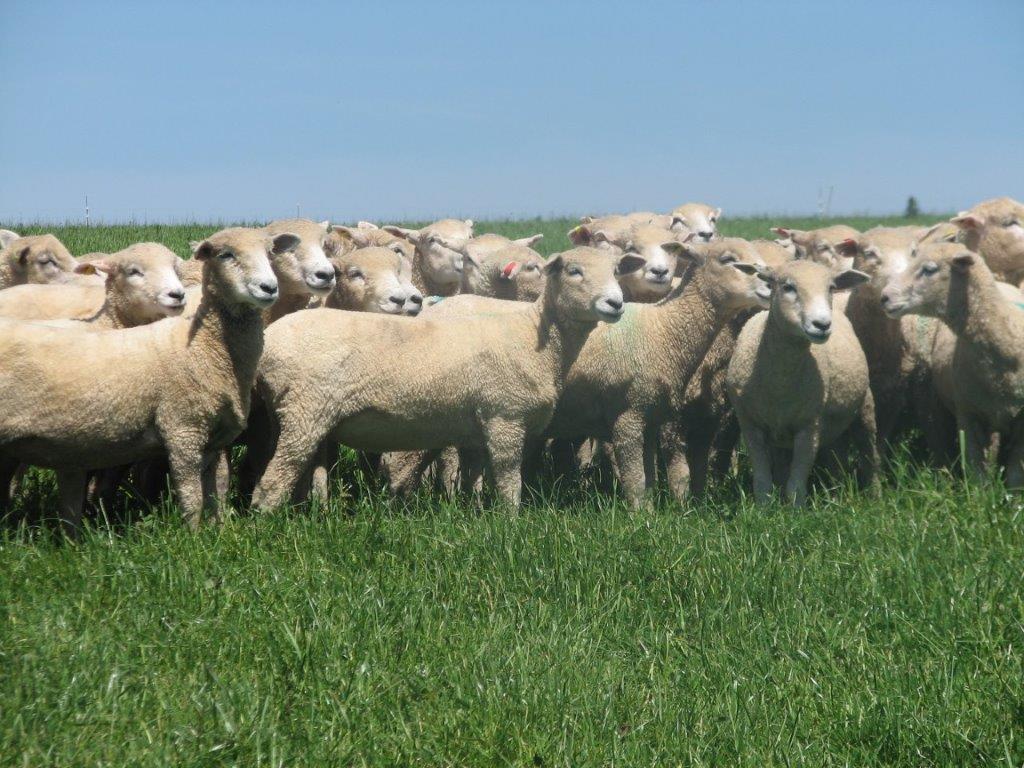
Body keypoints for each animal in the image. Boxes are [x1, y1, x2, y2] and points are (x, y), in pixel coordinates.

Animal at [249, 246, 622, 512]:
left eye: (616, 271)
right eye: (575, 271)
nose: (616, 303)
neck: (535, 334)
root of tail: (271, 340)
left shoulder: (476, 426)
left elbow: (473, 477)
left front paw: (475, 513)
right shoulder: (505, 418)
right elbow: (508, 479)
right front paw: (511, 522)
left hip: (298, 416)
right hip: (306, 411)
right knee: (274, 479)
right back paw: (266, 524)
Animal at [544, 237, 770, 507]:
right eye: (728, 259)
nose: (770, 284)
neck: (663, 328)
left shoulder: (652, 418)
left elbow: (651, 477)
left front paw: (656, 511)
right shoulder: (630, 418)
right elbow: (638, 478)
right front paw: (642, 514)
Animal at [724, 262, 876, 507]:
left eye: (831, 288)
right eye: (788, 287)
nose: (822, 324)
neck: (780, 381)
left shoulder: (809, 426)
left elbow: (796, 483)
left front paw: (796, 511)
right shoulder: (750, 425)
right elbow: (762, 480)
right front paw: (764, 509)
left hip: (865, 407)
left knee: (870, 454)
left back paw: (874, 496)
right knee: (834, 458)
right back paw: (835, 493)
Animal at [880, 241, 1024, 487]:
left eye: (929, 269)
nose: (885, 297)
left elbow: (1016, 475)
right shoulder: (967, 414)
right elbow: (976, 472)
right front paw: (981, 496)